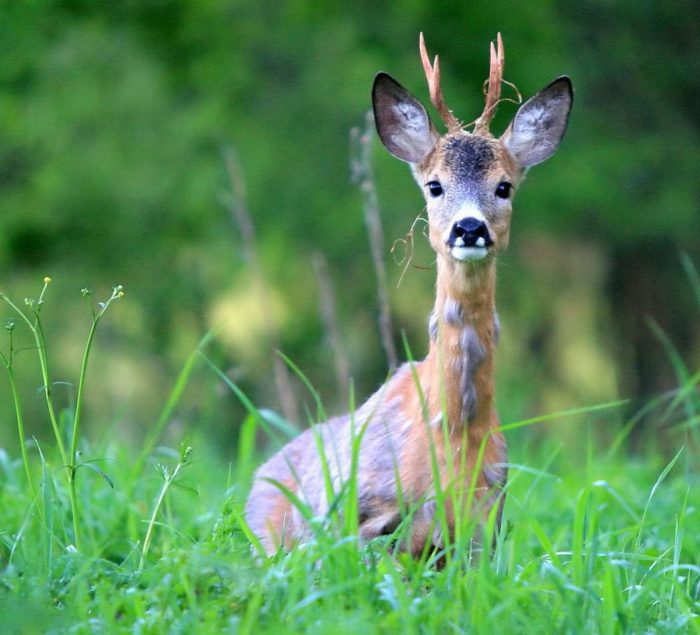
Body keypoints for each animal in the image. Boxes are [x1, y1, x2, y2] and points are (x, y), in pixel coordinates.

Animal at [243, 34, 572, 560]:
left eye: (504, 186)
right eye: (434, 185)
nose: (469, 227)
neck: (452, 434)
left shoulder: (485, 528)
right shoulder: (360, 518)